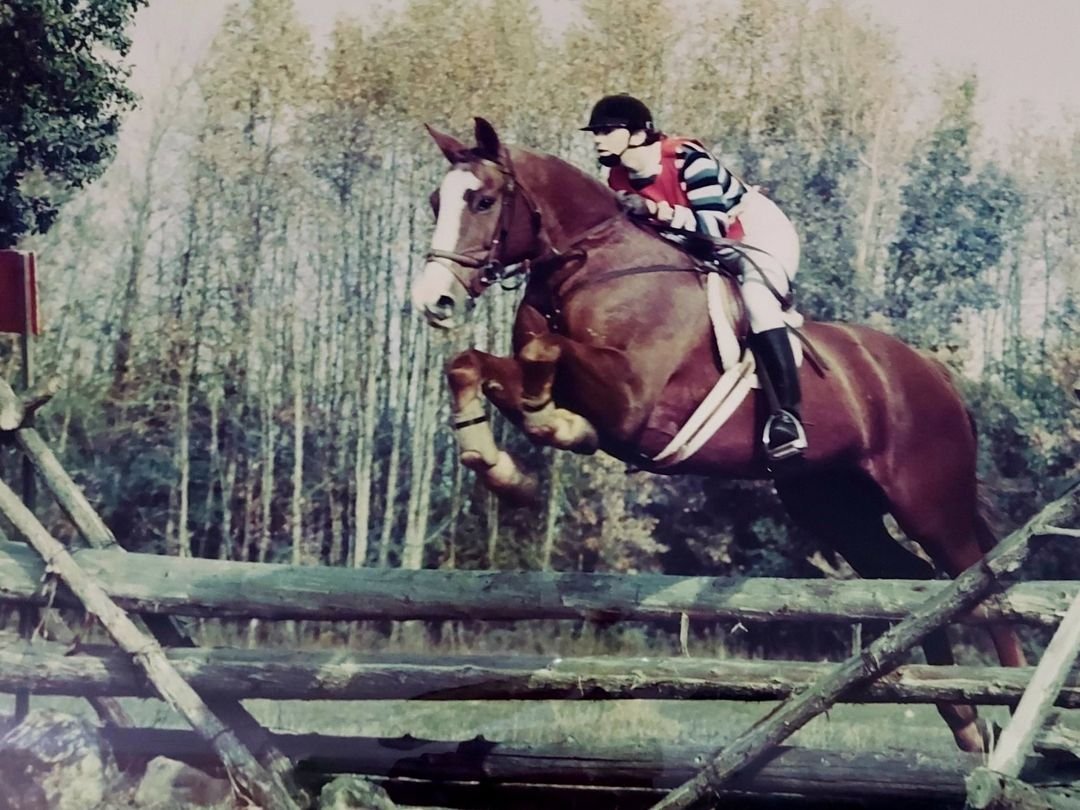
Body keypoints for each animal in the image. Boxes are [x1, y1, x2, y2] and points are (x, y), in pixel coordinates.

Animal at [409, 117, 1025, 752]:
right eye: (435, 201)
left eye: (483, 200)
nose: (434, 301)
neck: (590, 264)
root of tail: (935, 374)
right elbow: (470, 364)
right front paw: (502, 465)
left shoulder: (631, 402)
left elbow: (541, 354)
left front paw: (553, 427)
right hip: (835, 507)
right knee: (916, 581)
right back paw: (963, 718)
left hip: (929, 504)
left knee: (982, 589)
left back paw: (1013, 700)